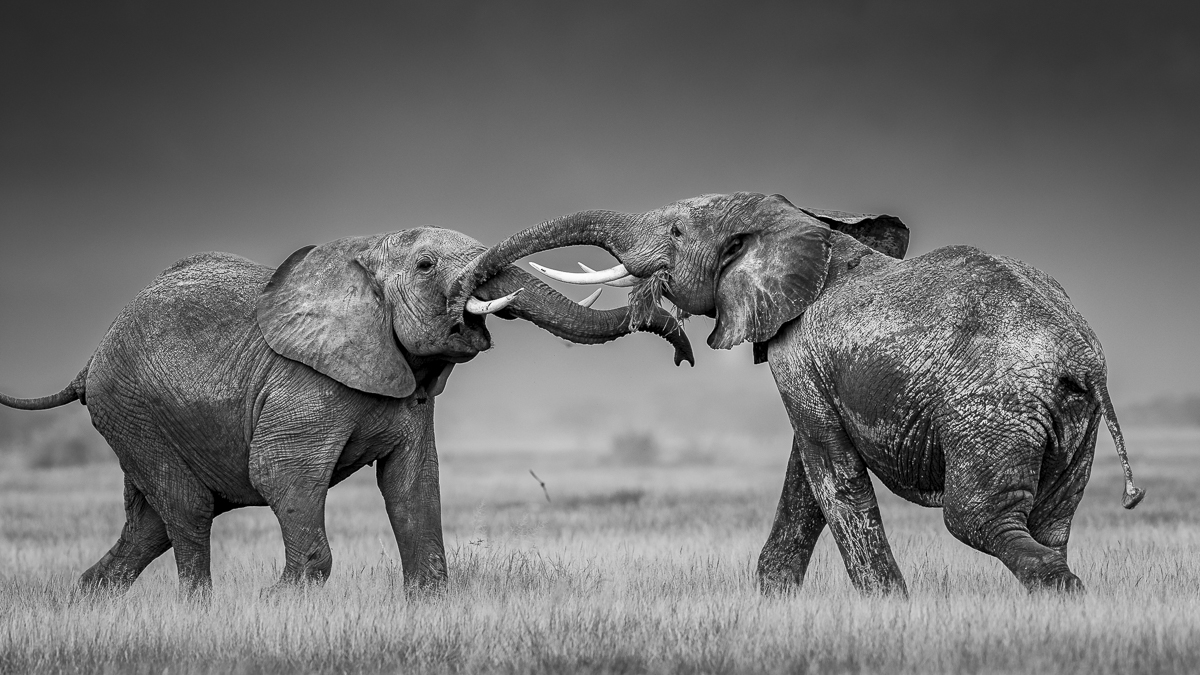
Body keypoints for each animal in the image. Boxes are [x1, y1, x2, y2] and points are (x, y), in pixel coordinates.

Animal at [1, 226, 693, 598]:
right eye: (426, 265)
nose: (684, 350)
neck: (365, 255)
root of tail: (92, 359)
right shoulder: (303, 383)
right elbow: (284, 475)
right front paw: (276, 602)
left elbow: (413, 484)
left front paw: (429, 603)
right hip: (132, 408)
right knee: (187, 512)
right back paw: (200, 611)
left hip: (137, 418)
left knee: (149, 525)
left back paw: (86, 601)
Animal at [455, 192, 1144, 595]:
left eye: (676, 230)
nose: (681, 350)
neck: (804, 225)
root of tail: (1082, 360)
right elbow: (807, 473)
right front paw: (771, 600)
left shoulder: (799, 351)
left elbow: (830, 472)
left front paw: (888, 609)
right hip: (1070, 424)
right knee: (1050, 521)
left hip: (993, 411)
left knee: (977, 517)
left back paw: (1059, 592)